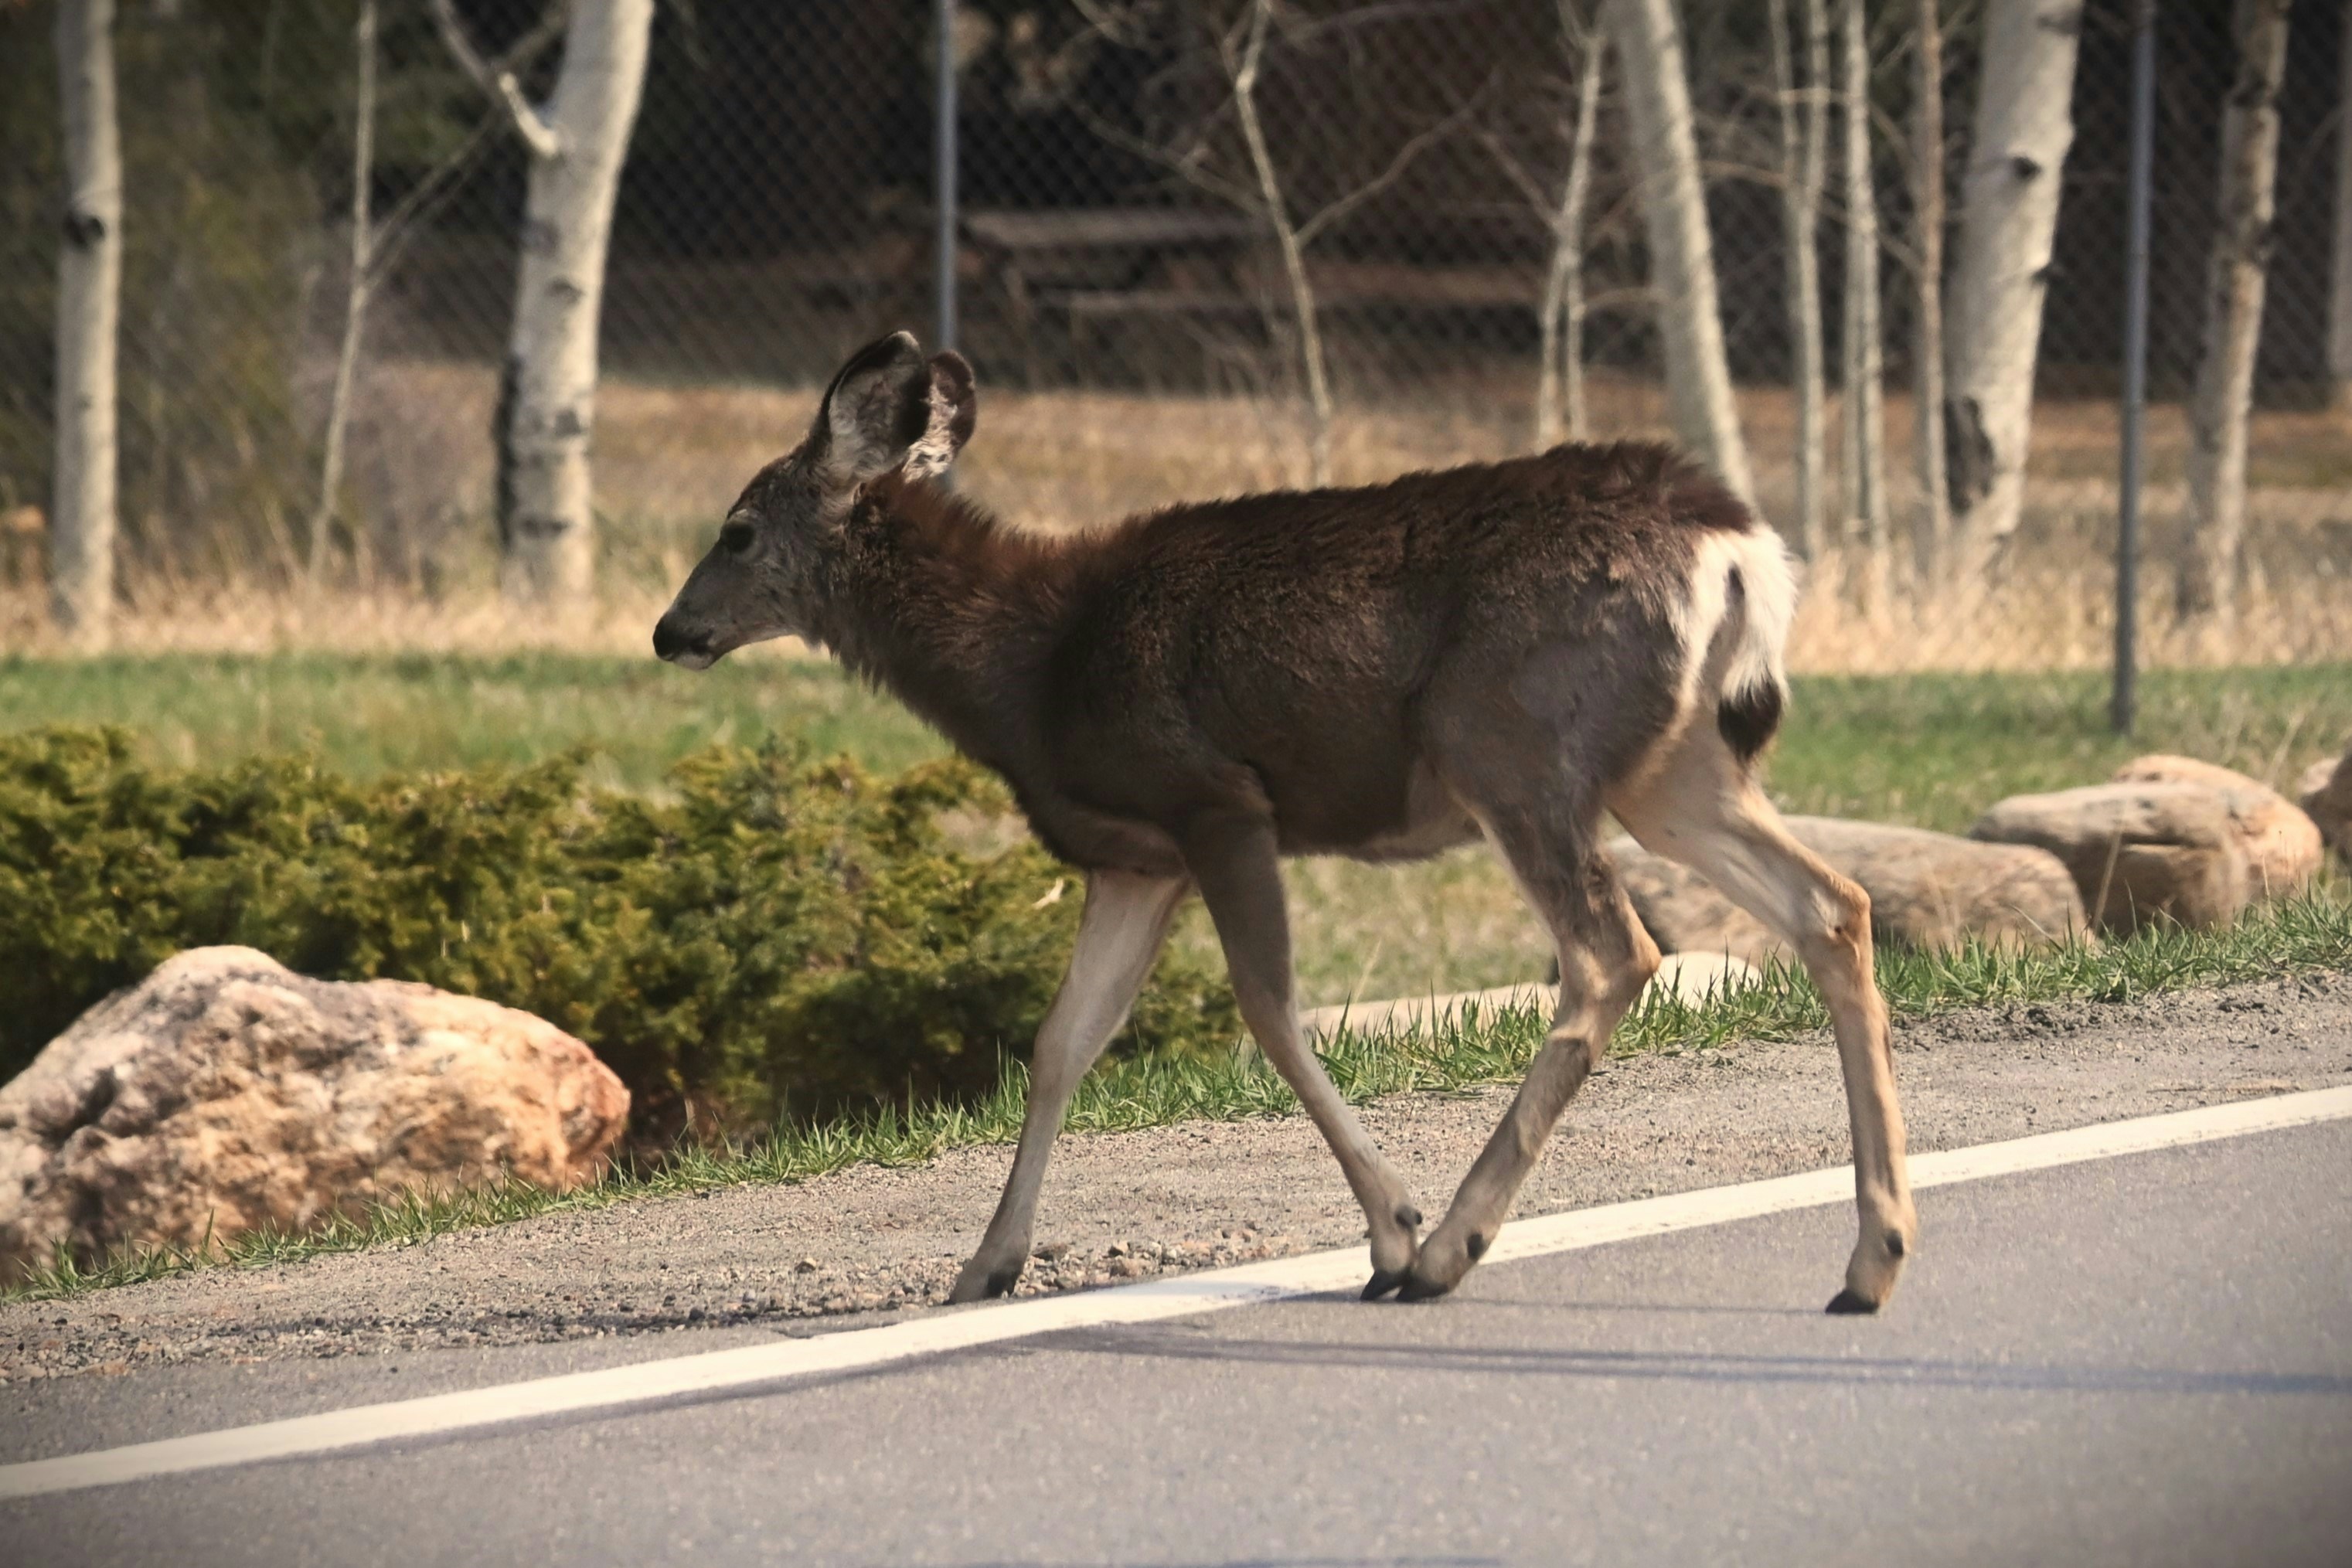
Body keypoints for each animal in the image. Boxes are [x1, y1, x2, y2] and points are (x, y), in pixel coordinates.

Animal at [653, 333, 1916, 1313]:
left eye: (737, 529)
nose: (670, 632)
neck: (1027, 667)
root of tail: (1736, 544)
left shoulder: (1215, 798)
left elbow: (1264, 1010)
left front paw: (1390, 1229)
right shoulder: (1135, 857)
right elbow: (1062, 1041)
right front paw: (984, 1267)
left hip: (1507, 739)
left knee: (1615, 951)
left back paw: (1448, 1250)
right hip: (1671, 766)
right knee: (1831, 903)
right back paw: (1870, 1259)